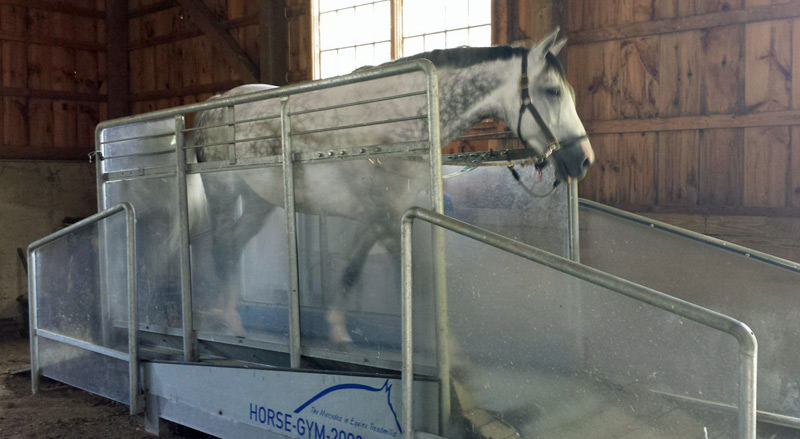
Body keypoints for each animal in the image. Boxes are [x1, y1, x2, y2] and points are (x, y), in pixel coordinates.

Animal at [189, 30, 592, 344]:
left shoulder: (381, 216)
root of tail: (213, 105)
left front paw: (339, 333)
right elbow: (417, 282)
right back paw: (231, 323)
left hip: (259, 201)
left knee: (235, 245)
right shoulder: (386, 217)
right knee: (223, 246)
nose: (584, 160)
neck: (398, 122)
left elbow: (351, 270)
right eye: (553, 91)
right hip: (224, 194)